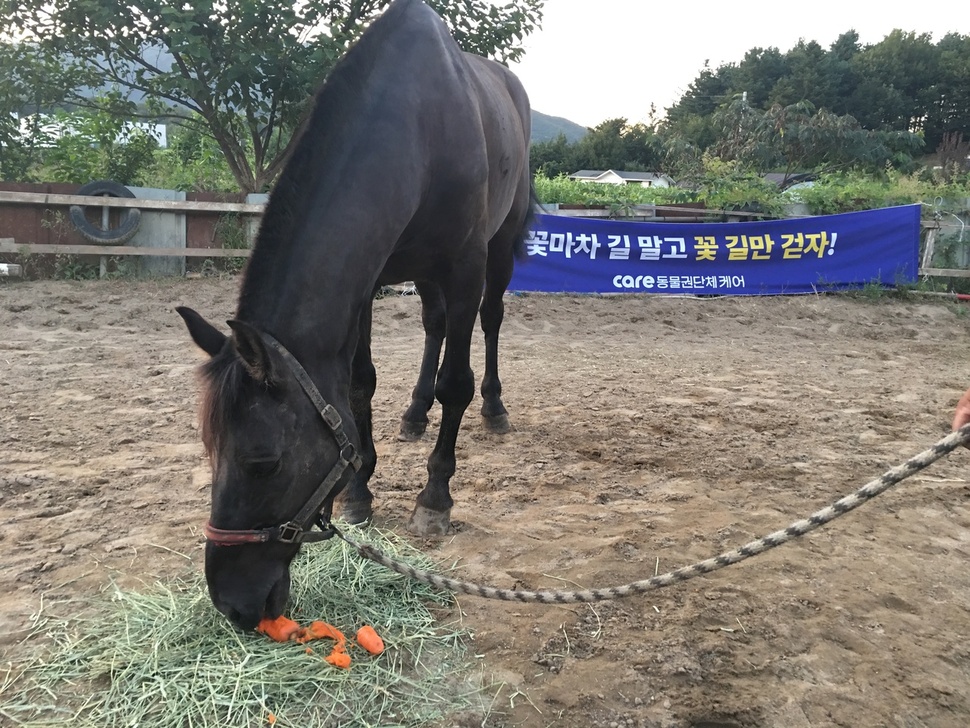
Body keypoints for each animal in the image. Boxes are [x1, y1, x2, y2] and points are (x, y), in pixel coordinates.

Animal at [178, 0, 532, 628]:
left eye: (263, 462)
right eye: (209, 449)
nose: (232, 603)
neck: (415, 127)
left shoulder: (464, 267)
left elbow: (456, 383)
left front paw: (434, 498)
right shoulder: (368, 280)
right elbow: (359, 384)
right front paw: (359, 490)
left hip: (496, 249)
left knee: (488, 324)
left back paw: (494, 408)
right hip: (423, 276)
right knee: (434, 326)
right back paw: (414, 413)